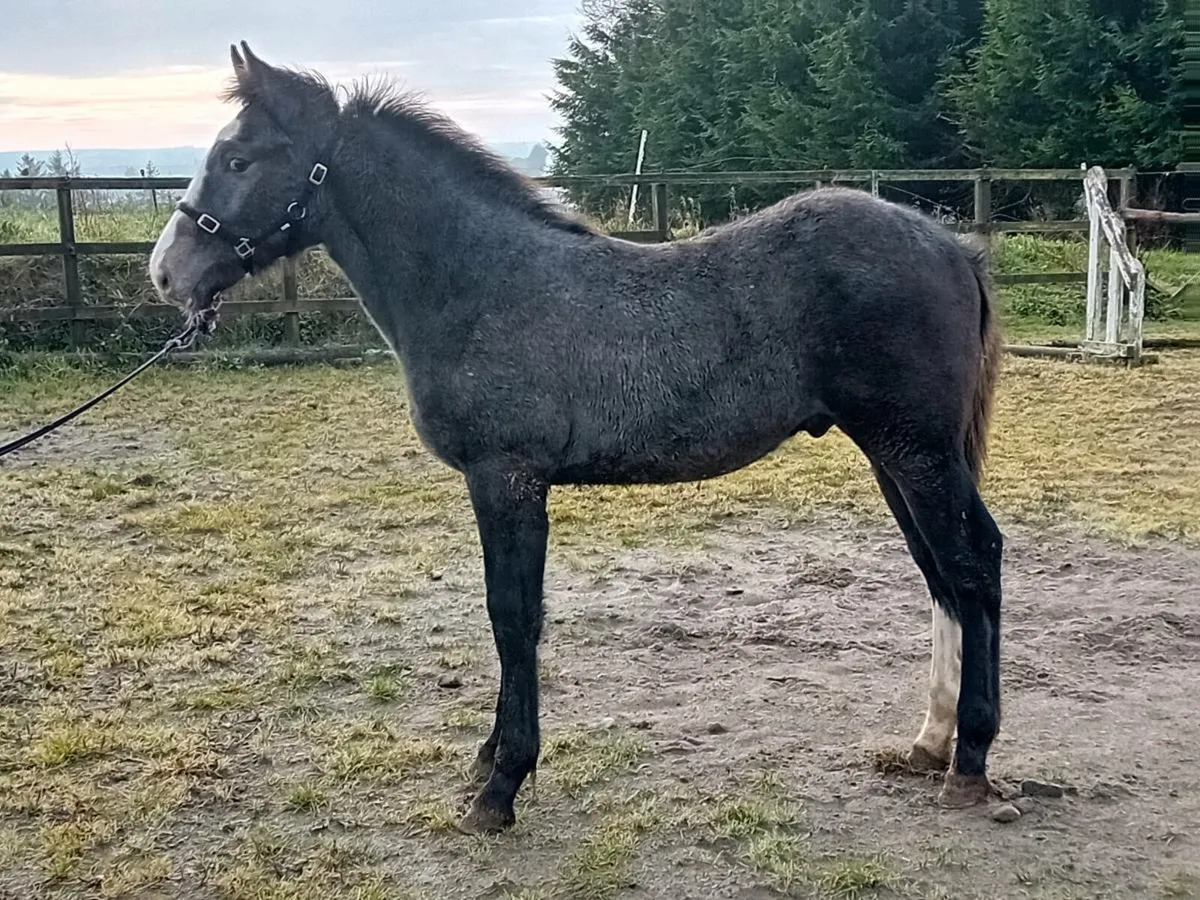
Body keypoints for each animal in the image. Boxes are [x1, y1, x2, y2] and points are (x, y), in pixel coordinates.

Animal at [149, 42, 1005, 834]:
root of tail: (951, 248)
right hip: (898, 453)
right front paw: (489, 761)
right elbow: (510, 615)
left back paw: (969, 762)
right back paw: (930, 741)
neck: (481, 283)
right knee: (946, 570)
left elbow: (512, 615)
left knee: (970, 568)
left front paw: (501, 786)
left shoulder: (506, 477)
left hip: (914, 449)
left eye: (238, 158)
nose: (166, 273)